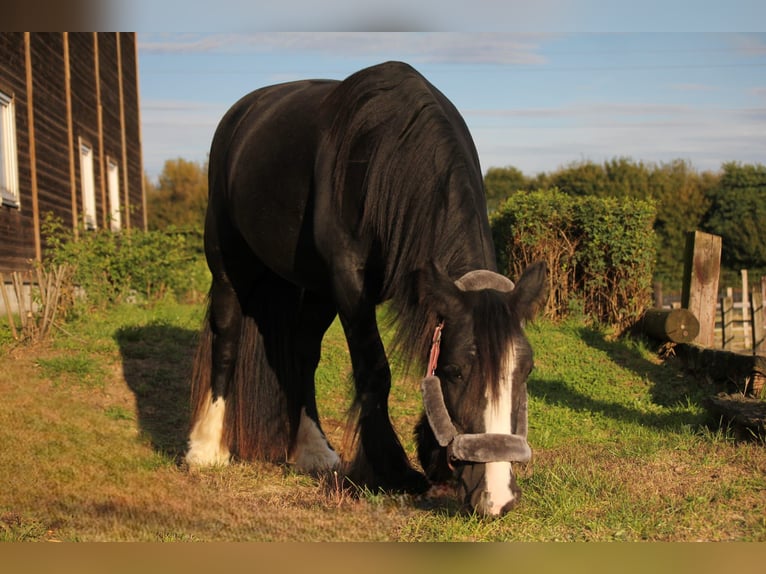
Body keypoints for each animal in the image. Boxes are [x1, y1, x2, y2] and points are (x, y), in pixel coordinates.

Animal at [185, 62, 544, 516]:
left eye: (525, 370)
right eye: (455, 371)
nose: (497, 499)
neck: (388, 153)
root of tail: (242, 113)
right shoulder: (350, 282)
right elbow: (375, 370)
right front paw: (394, 469)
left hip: (317, 288)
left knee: (302, 353)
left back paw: (312, 451)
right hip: (229, 263)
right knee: (227, 337)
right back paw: (205, 448)